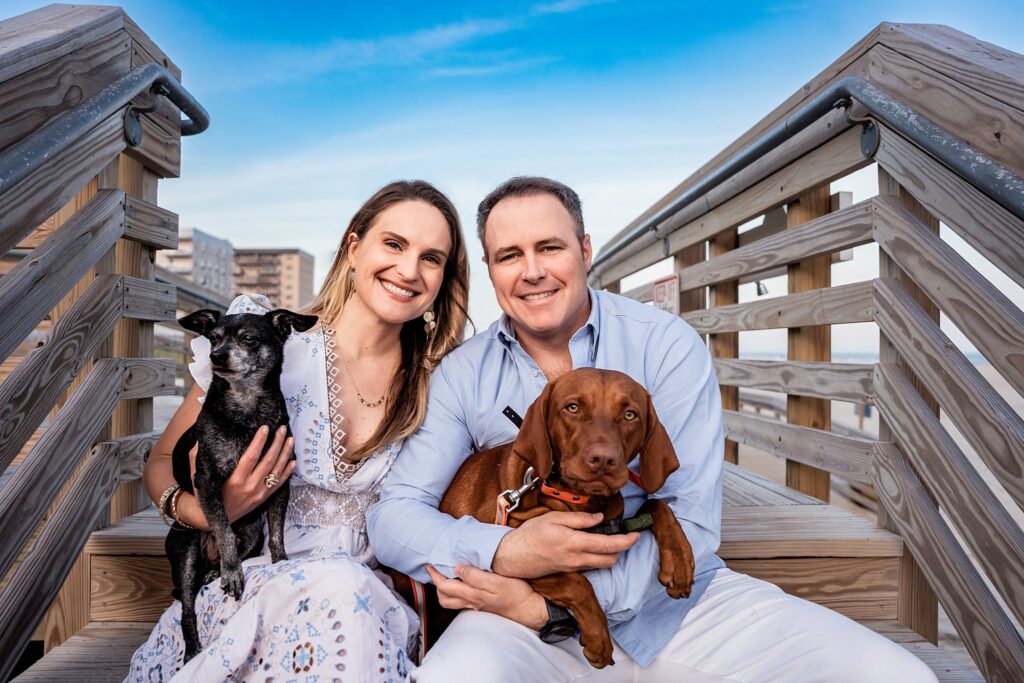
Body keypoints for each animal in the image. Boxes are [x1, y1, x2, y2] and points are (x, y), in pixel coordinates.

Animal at [167, 307, 315, 659]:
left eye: (248, 338)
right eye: (214, 338)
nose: (217, 357)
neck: (248, 407)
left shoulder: (280, 484)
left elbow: (277, 533)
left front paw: (281, 561)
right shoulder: (207, 482)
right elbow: (223, 530)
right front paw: (233, 572)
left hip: (250, 535)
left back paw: (213, 571)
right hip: (185, 552)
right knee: (188, 608)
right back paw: (192, 648)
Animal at [440, 368, 696, 667]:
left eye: (630, 414)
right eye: (572, 407)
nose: (603, 459)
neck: (576, 499)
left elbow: (657, 503)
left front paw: (679, 562)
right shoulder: (515, 551)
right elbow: (577, 582)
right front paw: (598, 637)